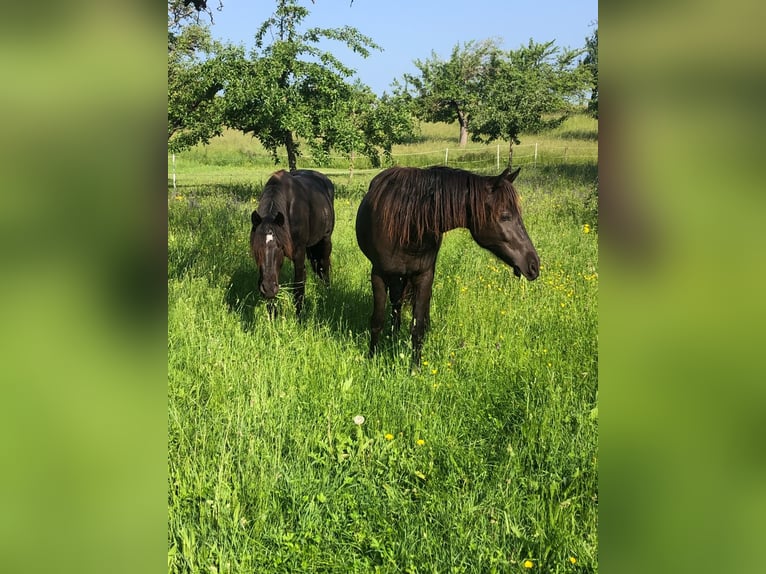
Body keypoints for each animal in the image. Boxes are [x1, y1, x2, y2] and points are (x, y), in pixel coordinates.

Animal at [252, 169, 336, 318]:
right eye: (257, 249)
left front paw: (299, 316)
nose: (268, 288)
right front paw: (272, 317)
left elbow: (298, 286)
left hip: (325, 240)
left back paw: (327, 292)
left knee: (324, 266)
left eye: (279, 247)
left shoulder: (299, 252)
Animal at [358, 165, 544, 368]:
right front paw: (371, 359)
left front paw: (415, 368)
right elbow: (377, 320)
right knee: (396, 301)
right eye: (505, 216)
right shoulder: (378, 273)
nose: (533, 265)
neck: (406, 223)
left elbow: (417, 327)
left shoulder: (424, 275)